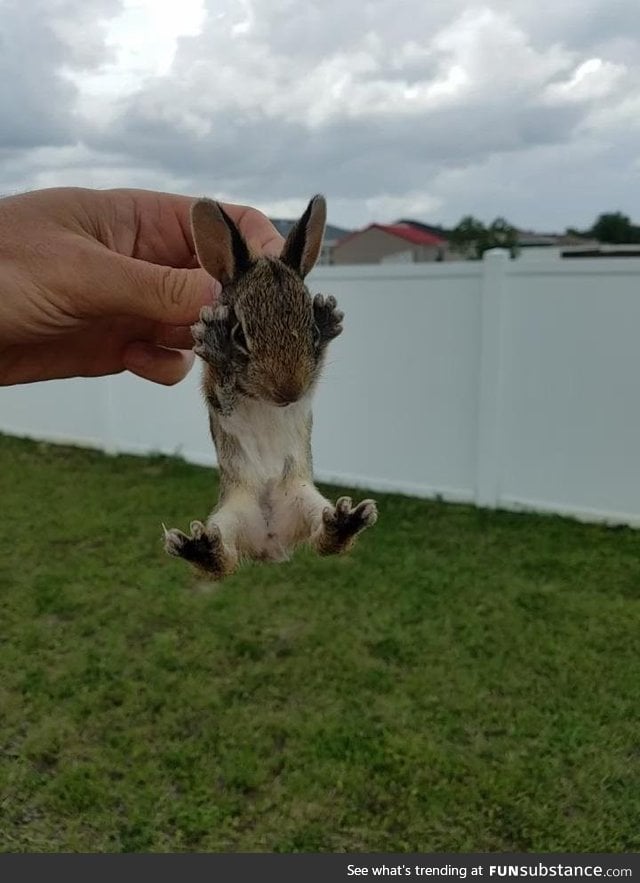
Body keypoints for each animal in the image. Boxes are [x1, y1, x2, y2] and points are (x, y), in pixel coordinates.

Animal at [162, 194, 378, 580]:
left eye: (311, 332)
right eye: (239, 334)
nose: (288, 392)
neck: (264, 400)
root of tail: (271, 542)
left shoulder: (308, 392)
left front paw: (327, 317)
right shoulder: (221, 400)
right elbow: (221, 387)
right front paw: (216, 343)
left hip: (305, 499)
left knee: (326, 542)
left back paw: (346, 523)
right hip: (231, 516)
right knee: (223, 562)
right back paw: (200, 548)